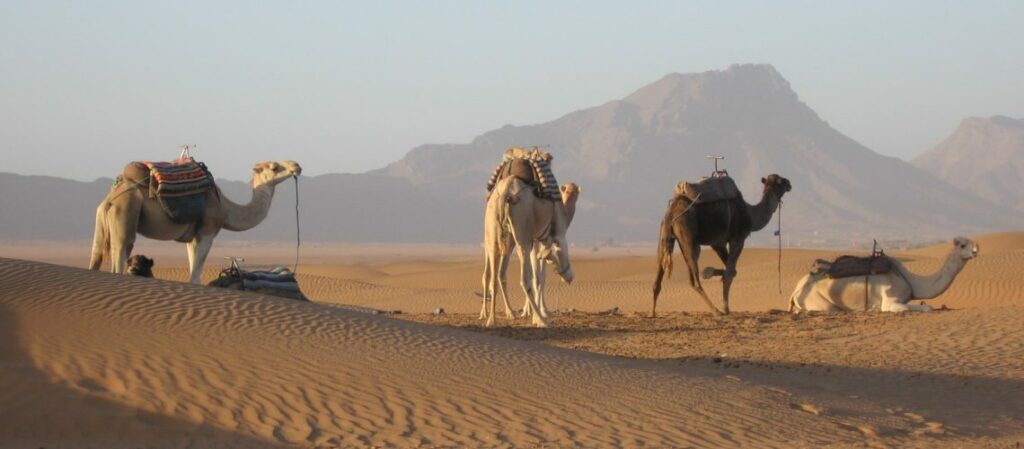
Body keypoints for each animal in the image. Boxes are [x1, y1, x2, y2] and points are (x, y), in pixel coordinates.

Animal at [89, 159, 299, 282]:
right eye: (275, 167)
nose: (296, 166)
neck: (225, 208)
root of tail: (111, 199)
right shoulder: (207, 231)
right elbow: (196, 275)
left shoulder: (192, 238)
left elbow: (192, 268)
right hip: (126, 213)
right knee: (122, 251)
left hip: (101, 219)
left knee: (96, 255)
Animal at [481, 177, 577, 328]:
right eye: (567, 190)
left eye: (575, 191)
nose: (569, 278)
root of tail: (506, 191)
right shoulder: (552, 237)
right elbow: (539, 276)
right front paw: (539, 313)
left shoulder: (537, 241)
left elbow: (538, 273)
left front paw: (531, 312)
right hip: (522, 236)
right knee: (522, 279)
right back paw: (541, 320)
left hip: (496, 236)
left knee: (496, 275)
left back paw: (494, 319)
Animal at [651, 173, 786, 317]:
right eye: (780, 181)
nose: (789, 184)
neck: (750, 214)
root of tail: (672, 212)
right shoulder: (737, 238)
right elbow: (730, 272)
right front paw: (726, 308)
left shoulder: (717, 243)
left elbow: (732, 271)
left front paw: (709, 272)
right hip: (687, 234)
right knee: (694, 280)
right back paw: (716, 310)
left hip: (665, 235)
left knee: (659, 274)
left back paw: (652, 312)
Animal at [786, 236, 978, 313]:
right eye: (962, 245)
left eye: (973, 243)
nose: (976, 250)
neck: (911, 281)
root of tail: (796, 289)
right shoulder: (890, 300)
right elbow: (927, 307)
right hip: (818, 301)